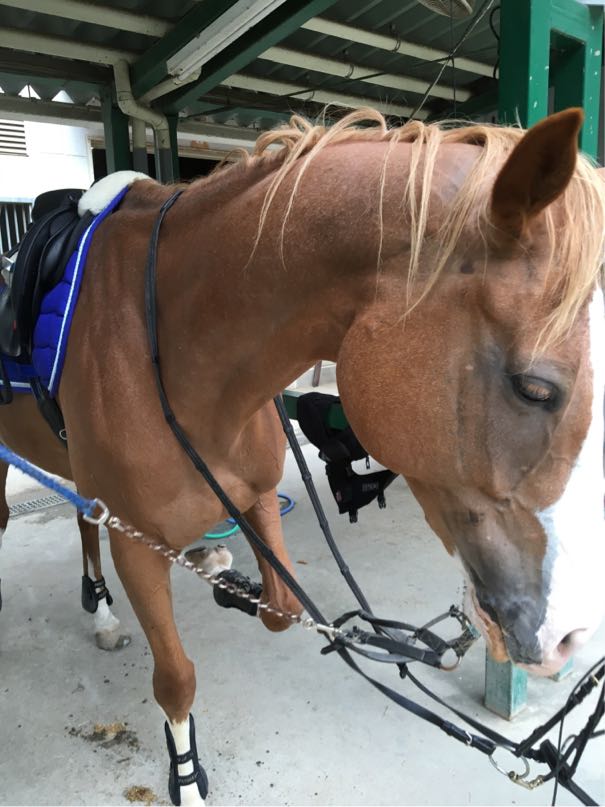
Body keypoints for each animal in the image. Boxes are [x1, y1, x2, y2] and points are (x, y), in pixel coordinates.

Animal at [0, 105, 603, 806]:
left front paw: (227, 579)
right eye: (535, 388)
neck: (172, 350)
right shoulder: (136, 543)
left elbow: (282, 610)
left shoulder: (257, 496)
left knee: (81, 520)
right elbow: (176, 680)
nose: (573, 635)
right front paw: (188, 778)